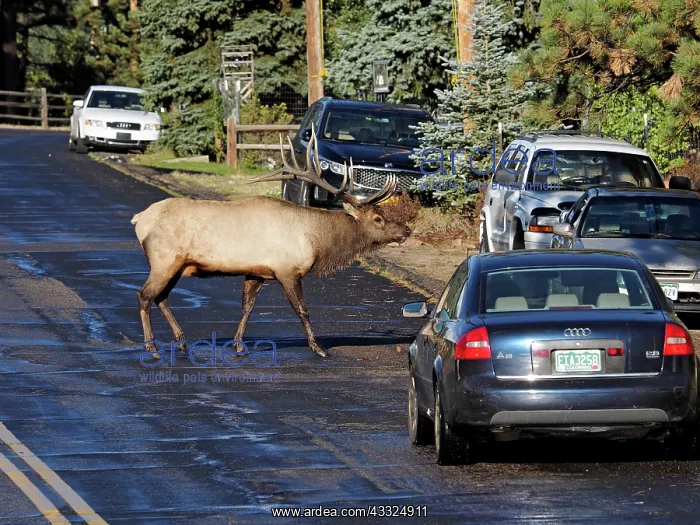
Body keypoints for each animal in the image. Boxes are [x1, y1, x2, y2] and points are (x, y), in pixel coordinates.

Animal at [131, 126, 418, 358]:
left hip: (178, 265)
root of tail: (140, 219)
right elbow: (302, 309)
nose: (407, 229)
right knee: (145, 295)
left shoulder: (257, 271)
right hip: (164, 259)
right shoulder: (287, 270)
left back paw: (180, 341)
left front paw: (238, 344)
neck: (317, 240)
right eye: (378, 218)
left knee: (162, 297)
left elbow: (247, 307)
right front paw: (318, 348)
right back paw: (151, 346)